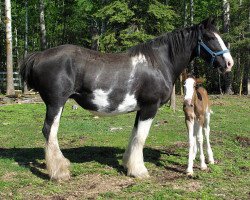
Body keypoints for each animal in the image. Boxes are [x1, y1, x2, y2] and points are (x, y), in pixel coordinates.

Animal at [20, 18, 234, 182]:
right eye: (210, 37)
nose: (229, 63)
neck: (158, 63)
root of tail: (38, 56)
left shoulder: (141, 109)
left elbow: (134, 136)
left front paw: (128, 164)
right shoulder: (150, 108)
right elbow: (141, 138)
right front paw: (139, 171)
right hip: (56, 103)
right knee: (49, 131)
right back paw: (59, 172)